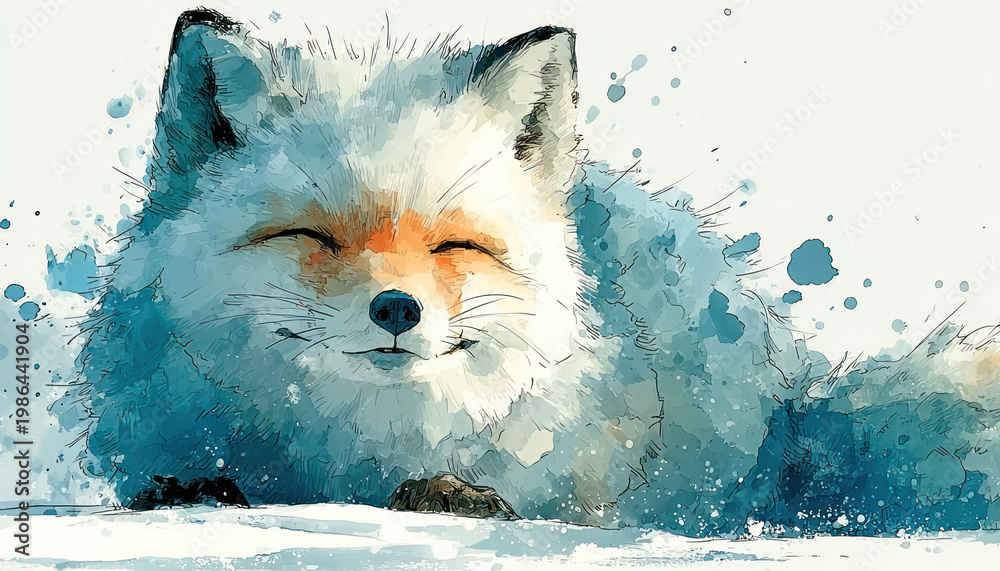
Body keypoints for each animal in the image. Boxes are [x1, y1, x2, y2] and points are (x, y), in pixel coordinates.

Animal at [69, 8, 1000, 536]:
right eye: (313, 235)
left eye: (456, 247)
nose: (397, 309)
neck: (349, 464)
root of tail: (791, 402)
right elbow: (195, 479)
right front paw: (197, 491)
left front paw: (453, 493)